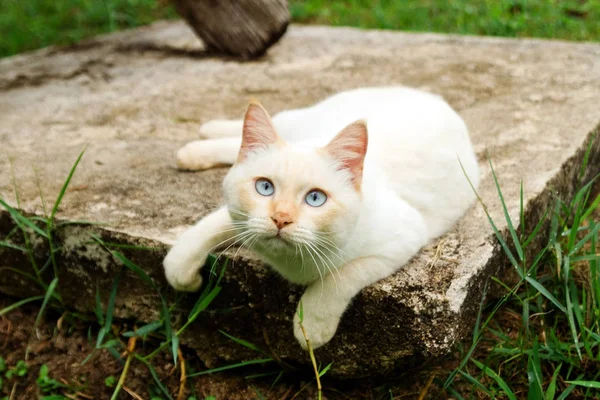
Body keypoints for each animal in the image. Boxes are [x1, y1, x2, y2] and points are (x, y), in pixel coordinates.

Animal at [163, 86, 478, 350]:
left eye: (315, 199)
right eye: (264, 187)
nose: (281, 218)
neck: (290, 263)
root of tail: (428, 95)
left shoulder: (402, 239)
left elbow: (339, 278)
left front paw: (311, 326)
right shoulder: (241, 218)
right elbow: (206, 230)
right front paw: (183, 271)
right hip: (302, 121)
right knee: (262, 128)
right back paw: (197, 143)